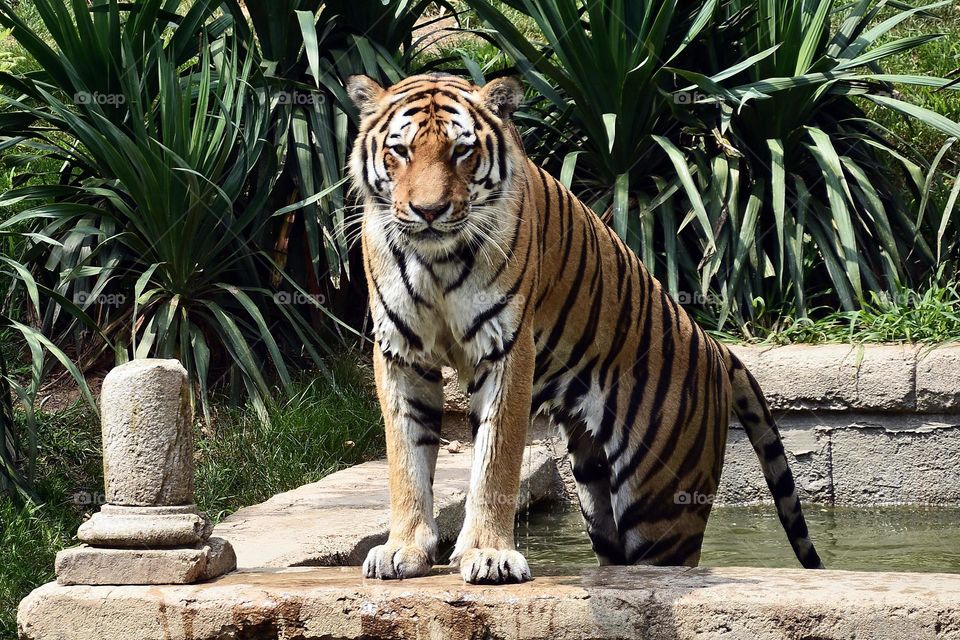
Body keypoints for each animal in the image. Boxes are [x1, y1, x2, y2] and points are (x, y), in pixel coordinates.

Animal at [346, 72, 823, 585]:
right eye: (400, 151)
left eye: (461, 151)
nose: (429, 211)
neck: (436, 261)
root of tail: (717, 348)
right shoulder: (401, 354)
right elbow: (406, 459)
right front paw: (404, 549)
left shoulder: (507, 350)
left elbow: (495, 461)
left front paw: (490, 554)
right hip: (597, 493)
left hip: (660, 507)